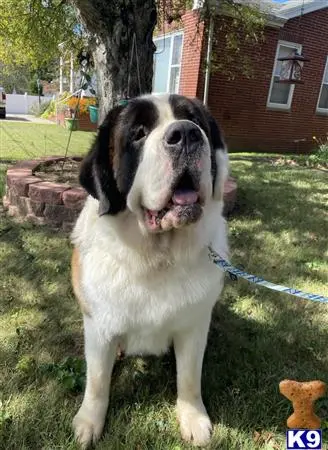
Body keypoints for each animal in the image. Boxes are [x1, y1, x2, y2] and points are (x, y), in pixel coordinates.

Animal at [72, 93, 229, 448]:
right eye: (138, 134)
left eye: (195, 120)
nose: (186, 134)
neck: (156, 256)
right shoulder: (98, 326)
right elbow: (97, 379)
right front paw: (89, 422)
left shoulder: (194, 326)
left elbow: (189, 376)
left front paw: (193, 417)